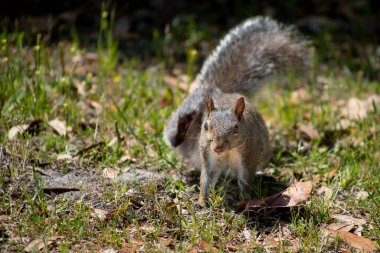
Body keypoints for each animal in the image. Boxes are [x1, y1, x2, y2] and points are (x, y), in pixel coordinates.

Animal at [163, 15, 308, 207]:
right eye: (205, 126)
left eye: (236, 128)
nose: (218, 147)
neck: (228, 152)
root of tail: (220, 93)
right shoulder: (208, 157)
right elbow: (206, 180)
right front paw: (201, 201)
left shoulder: (248, 158)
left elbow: (245, 181)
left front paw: (245, 201)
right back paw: (184, 121)